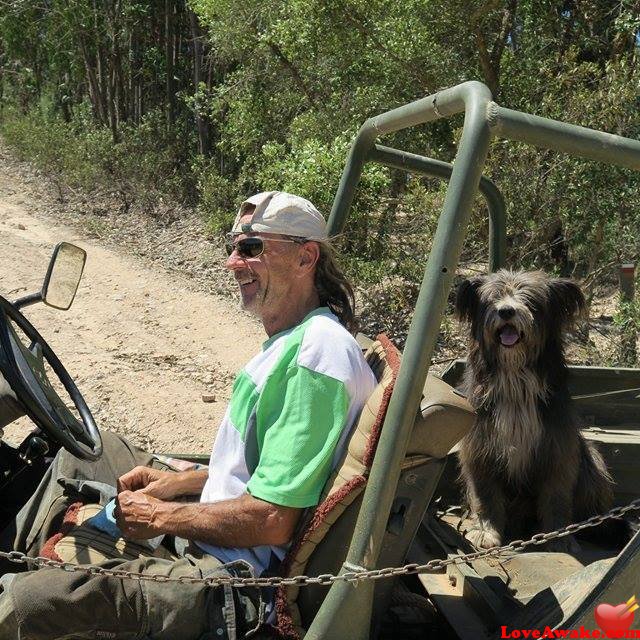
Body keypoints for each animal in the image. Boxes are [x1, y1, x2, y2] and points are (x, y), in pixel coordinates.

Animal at [456, 270, 608, 552]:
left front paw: (558, 536)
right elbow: (485, 494)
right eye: (493, 299)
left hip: (591, 459)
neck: (516, 380)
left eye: (530, 300)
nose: (506, 311)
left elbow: (557, 496)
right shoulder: (480, 449)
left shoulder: (559, 450)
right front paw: (486, 532)